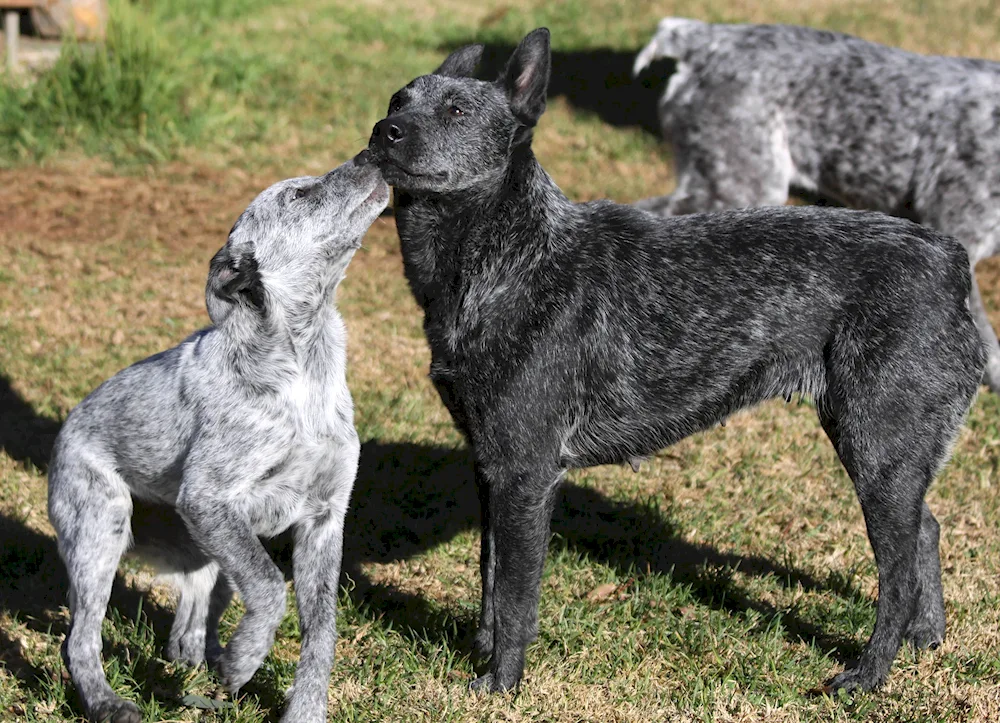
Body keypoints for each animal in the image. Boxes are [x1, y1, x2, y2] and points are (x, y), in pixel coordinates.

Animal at [48, 157, 388, 723]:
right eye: (298, 195)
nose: (372, 152)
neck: (305, 368)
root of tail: (65, 430)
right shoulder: (207, 498)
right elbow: (271, 588)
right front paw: (245, 658)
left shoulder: (323, 520)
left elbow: (321, 632)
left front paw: (301, 709)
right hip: (103, 530)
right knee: (79, 639)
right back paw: (109, 702)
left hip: (211, 550)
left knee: (188, 627)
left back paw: (202, 668)